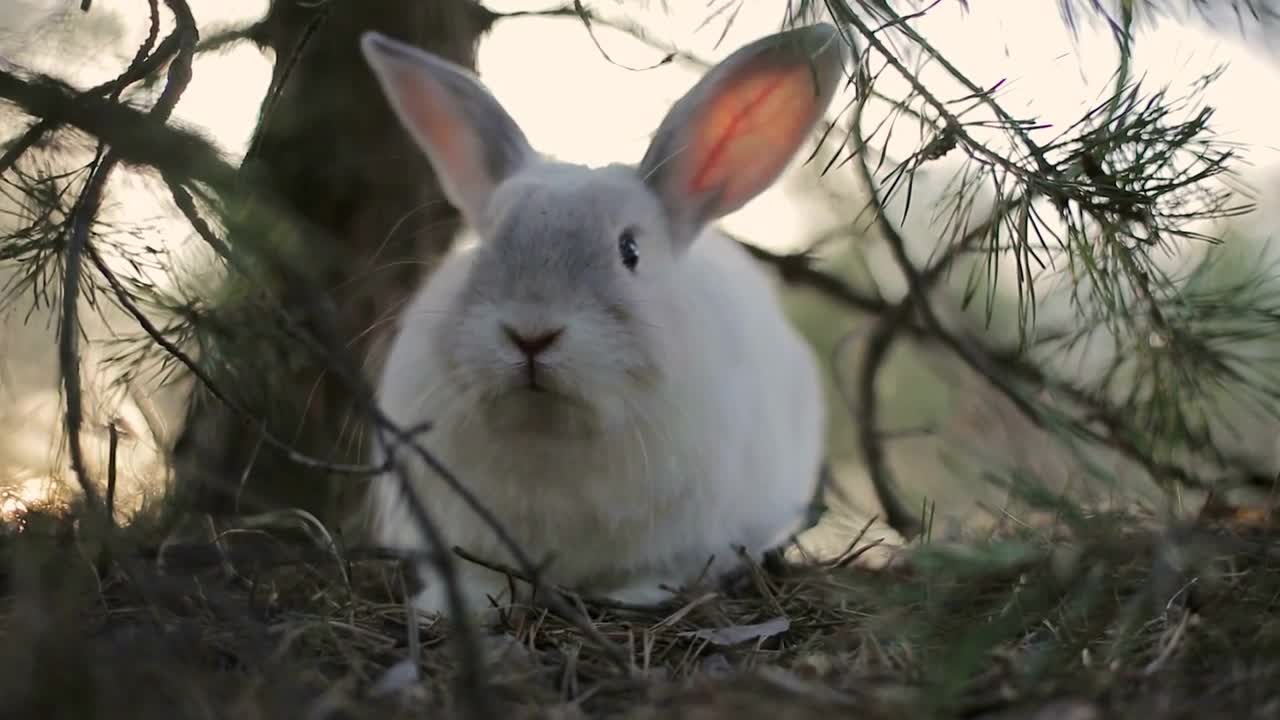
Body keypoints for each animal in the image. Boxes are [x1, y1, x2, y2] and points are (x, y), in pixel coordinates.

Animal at [355, 22, 844, 617]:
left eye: (629, 251)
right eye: (485, 242)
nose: (531, 334)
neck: (551, 427)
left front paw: (635, 595)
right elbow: (481, 578)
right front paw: (452, 607)